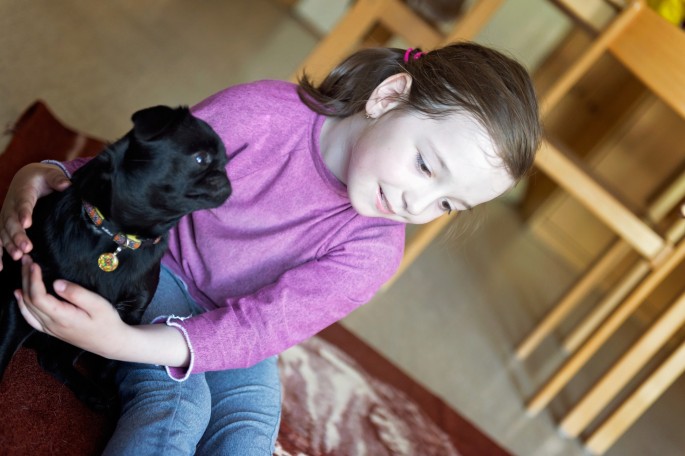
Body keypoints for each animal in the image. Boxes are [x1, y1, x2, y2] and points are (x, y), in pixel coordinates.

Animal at [0, 106, 231, 410]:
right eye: (201, 158)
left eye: (225, 161)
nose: (226, 176)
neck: (118, 236)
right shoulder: (19, 299)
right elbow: (2, 353)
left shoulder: (127, 316)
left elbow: (111, 360)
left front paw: (108, 385)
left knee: (53, 359)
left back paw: (95, 394)